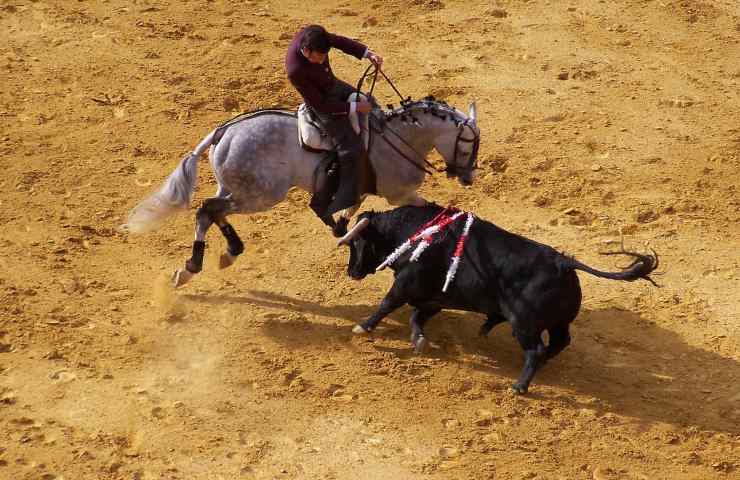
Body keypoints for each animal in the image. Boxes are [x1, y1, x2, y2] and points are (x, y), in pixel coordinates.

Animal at [123, 96, 480, 284]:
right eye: (468, 144)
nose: (468, 177)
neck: (399, 138)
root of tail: (223, 132)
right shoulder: (401, 194)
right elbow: (428, 208)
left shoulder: (362, 188)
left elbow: (349, 209)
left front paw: (340, 227)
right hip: (262, 195)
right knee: (208, 210)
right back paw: (195, 264)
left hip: (236, 188)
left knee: (213, 211)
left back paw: (225, 253)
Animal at [338, 204, 656, 392]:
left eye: (356, 243)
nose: (351, 271)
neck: (413, 232)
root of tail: (564, 263)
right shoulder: (435, 297)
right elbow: (418, 316)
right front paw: (418, 341)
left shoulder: (406, 283)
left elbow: (387, 304)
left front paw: (363, 327)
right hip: (558, 322)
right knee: (559, 341)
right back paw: (541, 364)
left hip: (524, 324)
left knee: (536, 349)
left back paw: (520, 386)